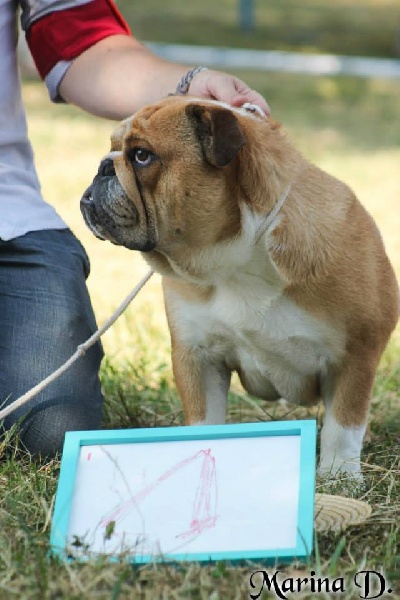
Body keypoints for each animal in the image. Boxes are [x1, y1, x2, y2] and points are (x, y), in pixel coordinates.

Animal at [81, 96, 399, 479]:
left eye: (142, 156)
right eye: (113, 148)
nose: (103, 166)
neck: (237, 257)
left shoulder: (355, 355)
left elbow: (344, 424)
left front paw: (339, 475)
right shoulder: (198, 355)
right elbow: (205, 419)